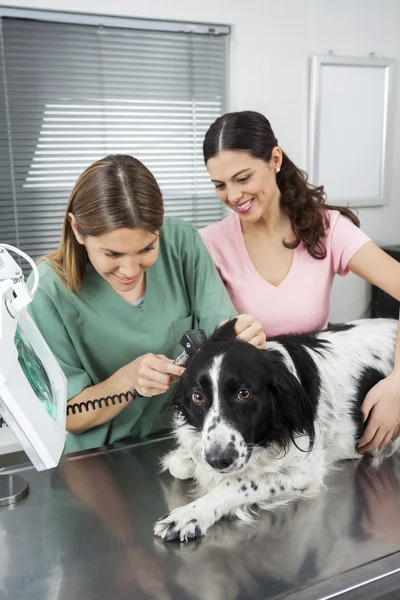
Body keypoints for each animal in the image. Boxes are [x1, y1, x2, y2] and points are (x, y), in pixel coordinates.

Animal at [154, 318, 400, 544]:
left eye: (244, 393)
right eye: (198, 397)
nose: (219, 460)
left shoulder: (304, 471)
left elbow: (237, 484)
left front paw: (191, 514)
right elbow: (180, 465)